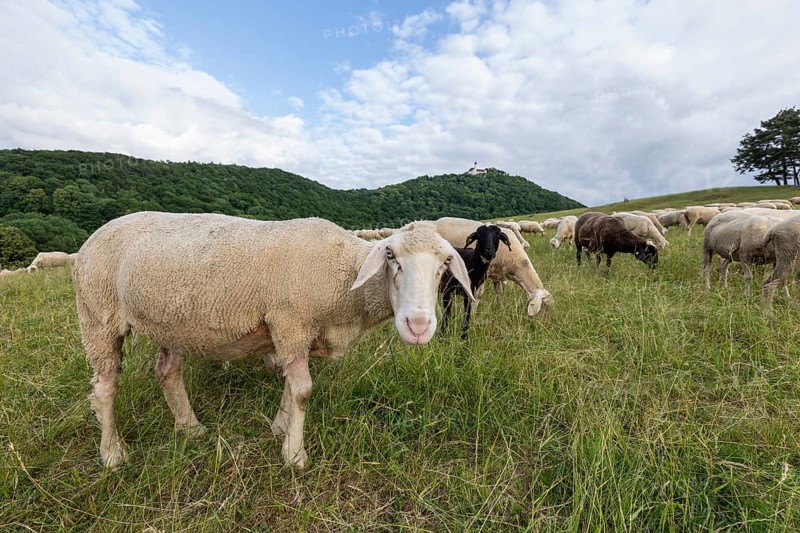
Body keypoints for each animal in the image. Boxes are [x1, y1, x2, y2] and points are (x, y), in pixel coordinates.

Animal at [73, 212, 474, 470]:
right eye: (391, 256)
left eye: (445, 263)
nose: (418, 325)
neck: (345, 278)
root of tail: (92, 237)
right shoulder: (290, 322)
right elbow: (303, 391)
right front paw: (294, 455)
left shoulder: (294, 332)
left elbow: (290, 387)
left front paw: (280, 428)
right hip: (97, 315)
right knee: (105, 389)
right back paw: (112, 455)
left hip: (171, 323)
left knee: (167, 372)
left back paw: (190, 428)